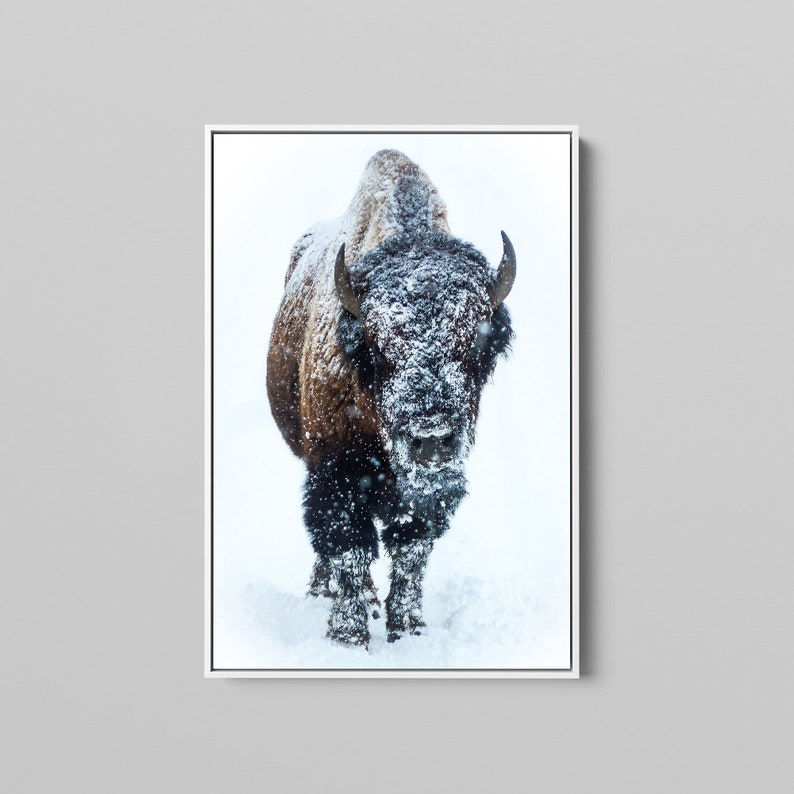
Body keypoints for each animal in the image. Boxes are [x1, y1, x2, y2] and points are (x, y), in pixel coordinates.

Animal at [266, 150, 515, 647]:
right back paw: (325, 592)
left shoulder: (429, 492)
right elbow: (348, 545)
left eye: (474, 345)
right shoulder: (334, 471)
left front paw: (410, 629)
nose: (432, 439)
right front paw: (347, 636)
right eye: (379, 348)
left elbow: (411, 549)